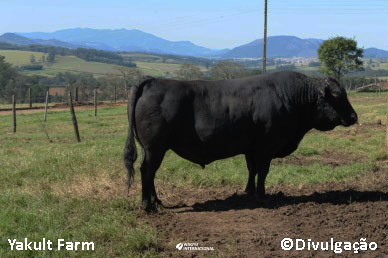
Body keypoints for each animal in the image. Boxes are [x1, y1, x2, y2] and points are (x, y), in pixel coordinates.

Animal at [124, 70, 358, 210]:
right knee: (147, 171)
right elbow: (263, 171)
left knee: (150, 173)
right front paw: (261, 195)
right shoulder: (266, 147)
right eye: (338, 96)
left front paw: (249, 191)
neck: (290, 97)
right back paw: (147, 205)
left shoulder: (251, 148)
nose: (354, 117)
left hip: (151, 148)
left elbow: (252, 170)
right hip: (155, 148)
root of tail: (153, 81)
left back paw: (157, 201)